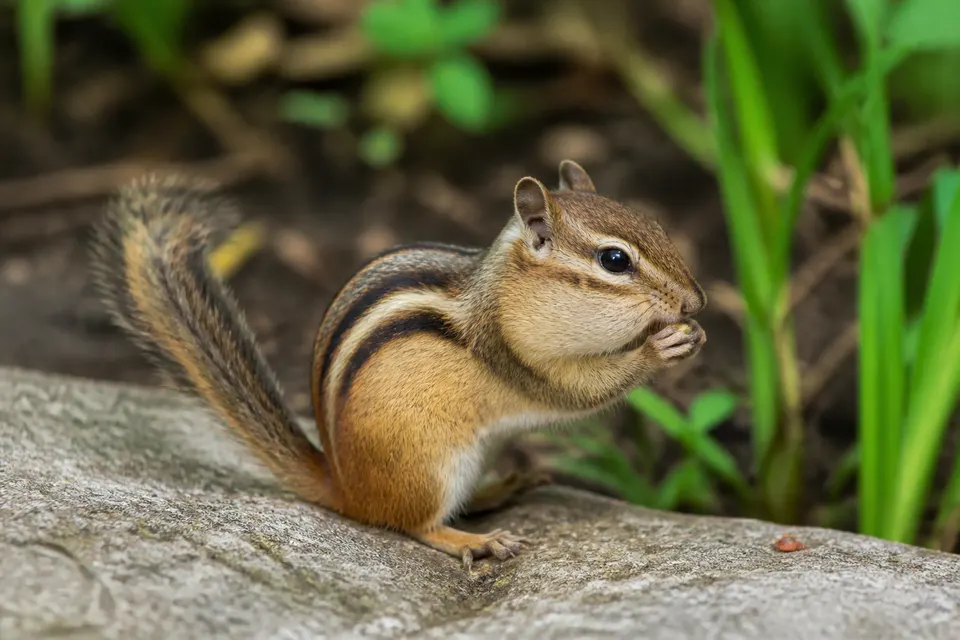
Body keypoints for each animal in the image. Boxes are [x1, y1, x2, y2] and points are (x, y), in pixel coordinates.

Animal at [88, 160, 706, 569]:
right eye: (614, 260)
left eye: (656, 227)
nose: (696, 301)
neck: (506, 293)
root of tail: (344, 486)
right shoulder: (517, 355)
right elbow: (579, 389)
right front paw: (659, 348)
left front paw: (691, 334)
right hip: (430, 465)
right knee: (413, 524)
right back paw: (474, 540)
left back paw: (502, 488)